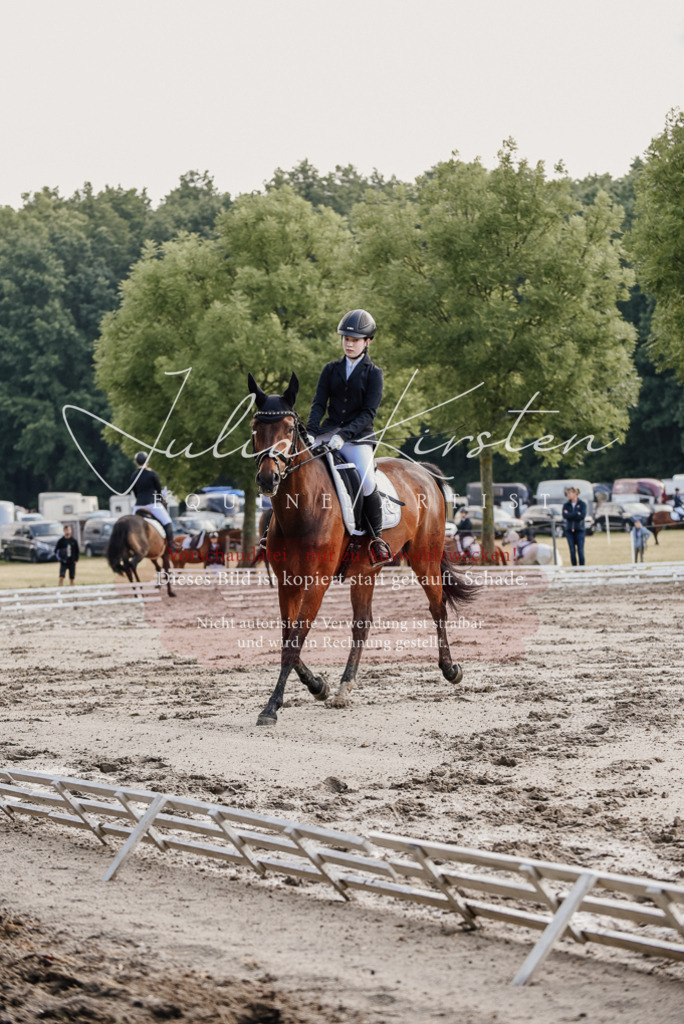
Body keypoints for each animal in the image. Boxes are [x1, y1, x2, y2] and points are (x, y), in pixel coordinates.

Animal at [247, 372, 476, 726]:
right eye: (255, 428)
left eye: (288, 429)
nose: (267, 479)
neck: (302, 508)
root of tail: (422, 471)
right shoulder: (288, 583)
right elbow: (288, 639)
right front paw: (318, 686)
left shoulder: (316, 583)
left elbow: (295, 641)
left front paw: (271, 707)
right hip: (366, 570)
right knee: (362, 623)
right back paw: (344, 687)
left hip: (424, 558)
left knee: (437, 608)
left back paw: (450, 669)